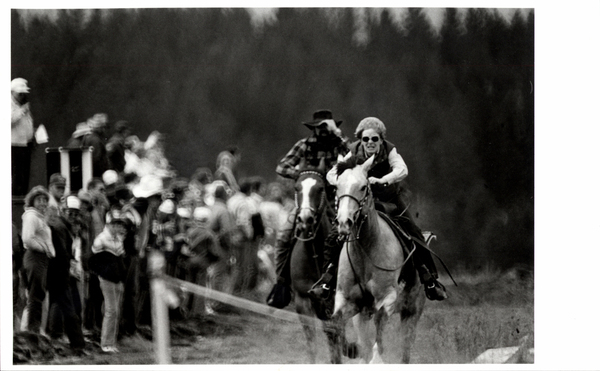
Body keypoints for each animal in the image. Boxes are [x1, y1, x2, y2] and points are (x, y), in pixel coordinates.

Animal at [332, 154, 426, 364]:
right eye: (337, 187)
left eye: (363, 187)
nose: (344, 222)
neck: (365, 251)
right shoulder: (347, 300)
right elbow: (337, 324)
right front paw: (350, 350)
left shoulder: (387, 297)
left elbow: (380, 325)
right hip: (362, 315)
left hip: (412, 311)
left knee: (405, 348)